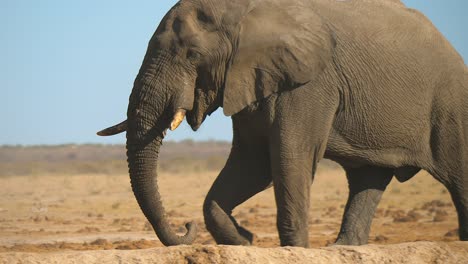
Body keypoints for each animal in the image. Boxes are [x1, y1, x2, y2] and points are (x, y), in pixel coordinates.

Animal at [98, 0, 468, 248]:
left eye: (192, 55)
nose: (185, 225)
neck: (244, 12)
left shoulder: (310, 82)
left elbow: (289, 158)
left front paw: (292, 249)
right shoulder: (248, 78)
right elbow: (253, 165)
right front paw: (244, 241)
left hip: (451, 106)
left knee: (459, 179)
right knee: (367, 179)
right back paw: (342, 248)